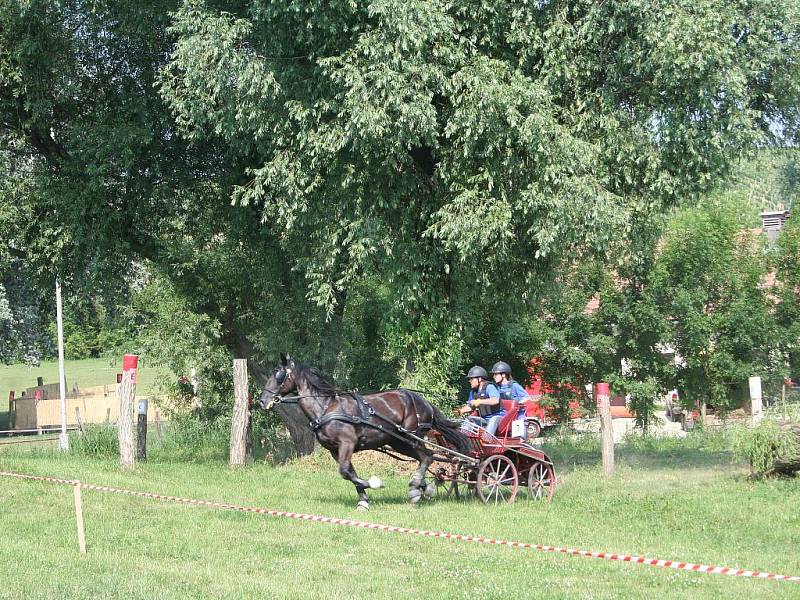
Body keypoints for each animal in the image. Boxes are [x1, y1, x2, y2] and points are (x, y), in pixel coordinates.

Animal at [258, 354, 468, 508]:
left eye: (278, 375)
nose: (262, 401)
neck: (325, 407)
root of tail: (423, 401)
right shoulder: (335, 450)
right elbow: (350, 473)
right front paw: (363, 500)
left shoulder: (347, 443)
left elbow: (345, 471)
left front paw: (375, 483)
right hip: (398, 442)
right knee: (425, 457)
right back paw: (421, 487)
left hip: (411, 437)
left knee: (427, 456)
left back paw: (417, 486)